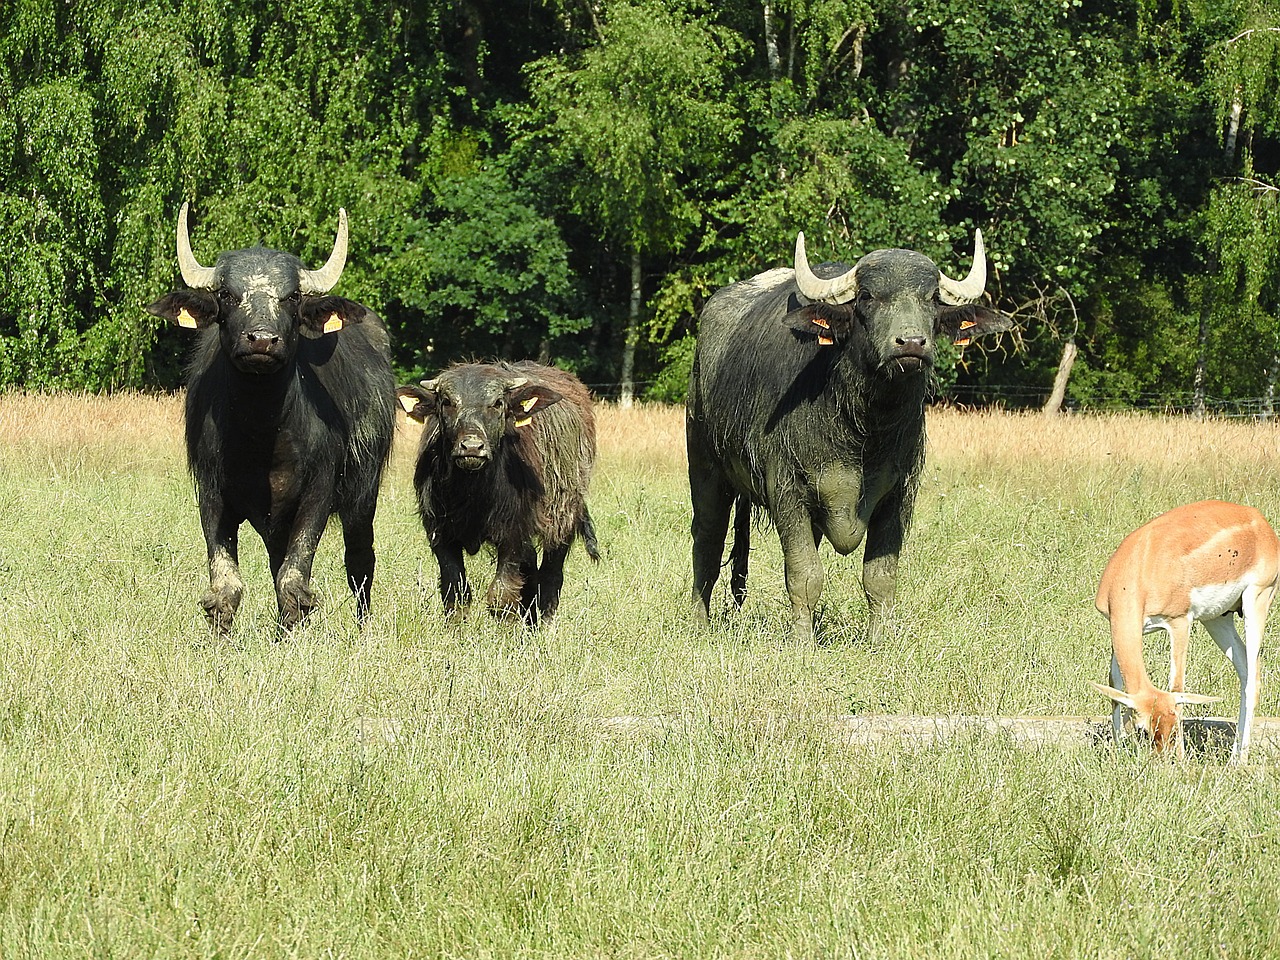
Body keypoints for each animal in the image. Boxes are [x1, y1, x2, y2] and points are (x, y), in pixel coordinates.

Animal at [147, 203, 395, 632]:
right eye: (227, 294)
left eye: (292, 296)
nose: (261, 340)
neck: (262, 433)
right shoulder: (211, 493)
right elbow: (227, 585)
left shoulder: (318, 492)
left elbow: (295, 580)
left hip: (365, 493)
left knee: (360, 562)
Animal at [397, 361, 599, 624]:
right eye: (447, 402)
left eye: (497, 403)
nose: (472, 447)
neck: (472, 493)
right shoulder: (439, 534)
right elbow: (456, 593)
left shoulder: (514, 535)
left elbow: (501, 595)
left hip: (563, 520)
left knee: (550, 576)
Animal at [686, 231, 1011, 641]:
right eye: (868, 296)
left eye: (932, 298)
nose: (911, 343)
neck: (862, 430)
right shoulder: (787, 490)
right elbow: (804, 575)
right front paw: (802, 640)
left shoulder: (898, 494)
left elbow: (880, 578)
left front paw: (880, 639)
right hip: (705, 465)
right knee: (708, 541)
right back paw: (700, 624)